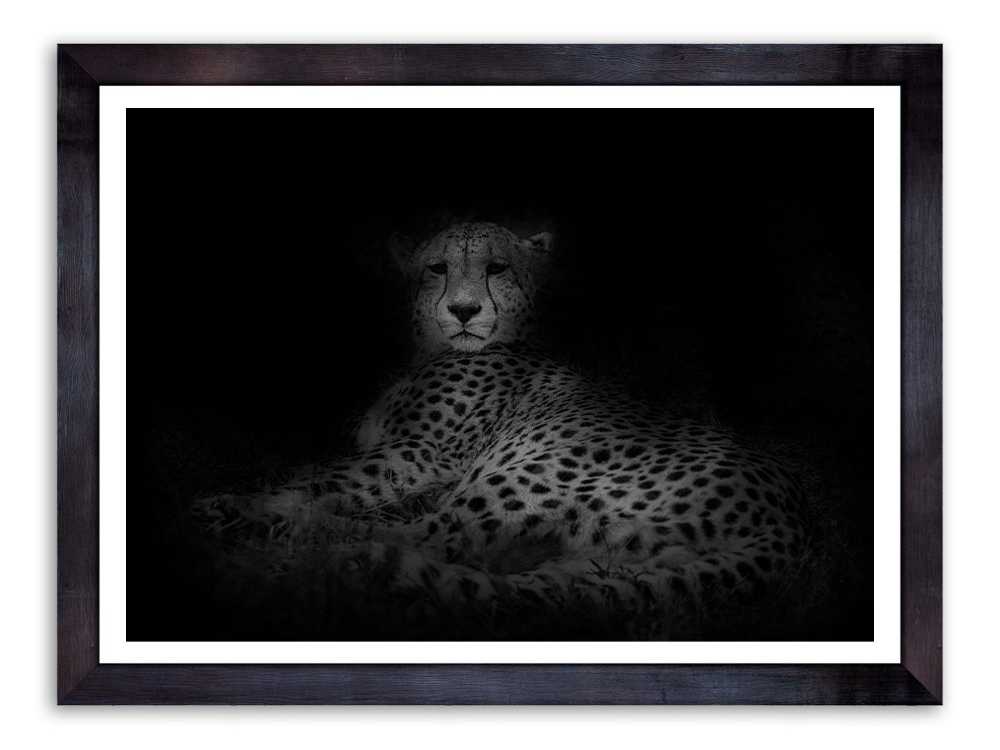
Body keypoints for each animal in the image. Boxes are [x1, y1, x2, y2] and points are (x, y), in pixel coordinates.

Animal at [196, 221, 809, 609]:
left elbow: (316, 477)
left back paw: (267, 536)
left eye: (497, 268)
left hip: (520, 474)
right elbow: (318, 475)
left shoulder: (420, 454)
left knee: (415, 537)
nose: (464, 310)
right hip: (595, 566)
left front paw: (240, 502)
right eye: (437, 268)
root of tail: (789, 521)